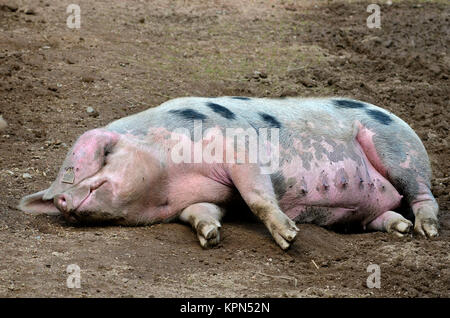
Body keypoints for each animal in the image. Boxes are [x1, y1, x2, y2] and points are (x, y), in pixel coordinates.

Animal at [19, 95, 438, 250]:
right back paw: (400, 229)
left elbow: (256, 194)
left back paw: (426, 231)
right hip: (366, 209)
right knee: (381, 215)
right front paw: (210, 237)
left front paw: (289, 238)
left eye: (100, 158)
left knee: (422, 194)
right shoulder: (202, 197)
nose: (62, 197)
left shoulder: (237, 146)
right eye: (59, 182)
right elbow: (200, 213)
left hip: (398, 149)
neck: (171, 179)